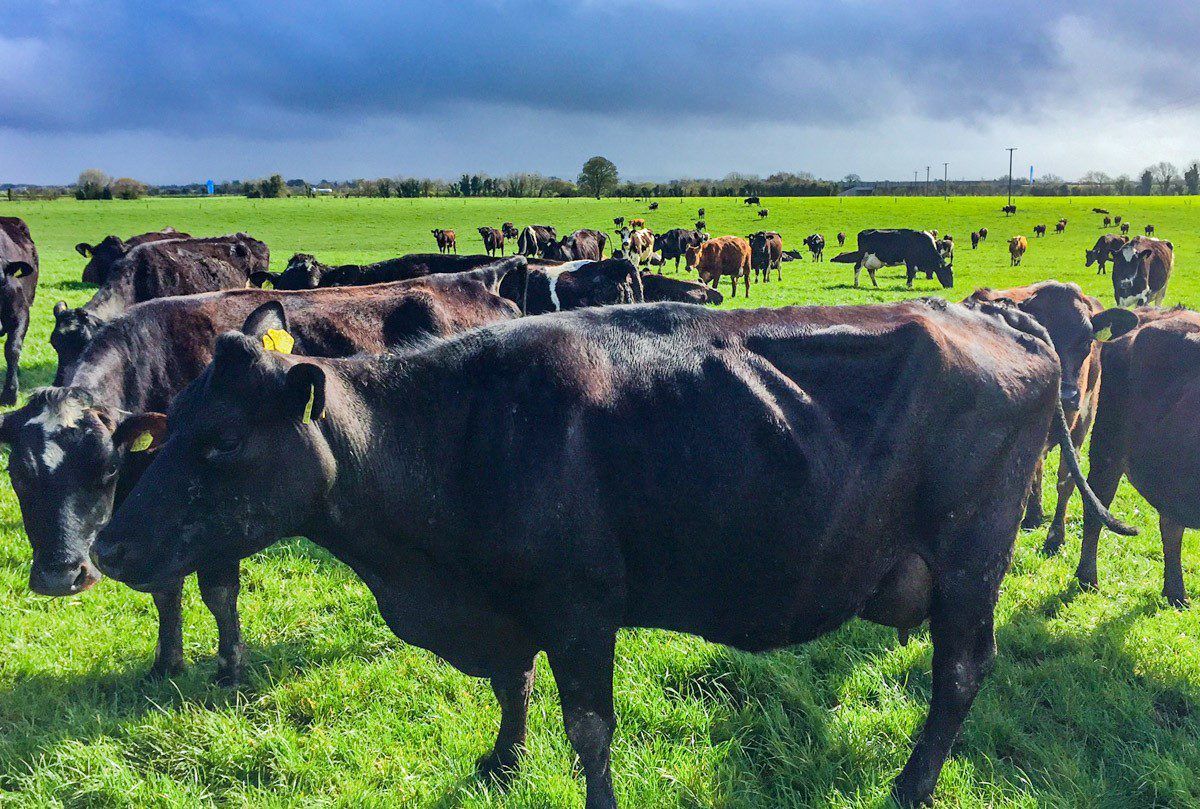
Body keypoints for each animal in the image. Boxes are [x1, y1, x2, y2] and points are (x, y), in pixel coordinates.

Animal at [0, 261, 525, 683]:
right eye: (17, 474)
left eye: (104, 468)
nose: (59, 576)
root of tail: (479, 281)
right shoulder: (150, 524)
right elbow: (165, 591)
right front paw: (166, 665)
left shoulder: (214, 523)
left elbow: (218, 593)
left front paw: (229, 670)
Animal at [966, 283, 1139, 546]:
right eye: (1041, 339)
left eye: (1086, 341)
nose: (1066, 395)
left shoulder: (1082, 423)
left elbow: (1066, 480)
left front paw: (1056, 535)